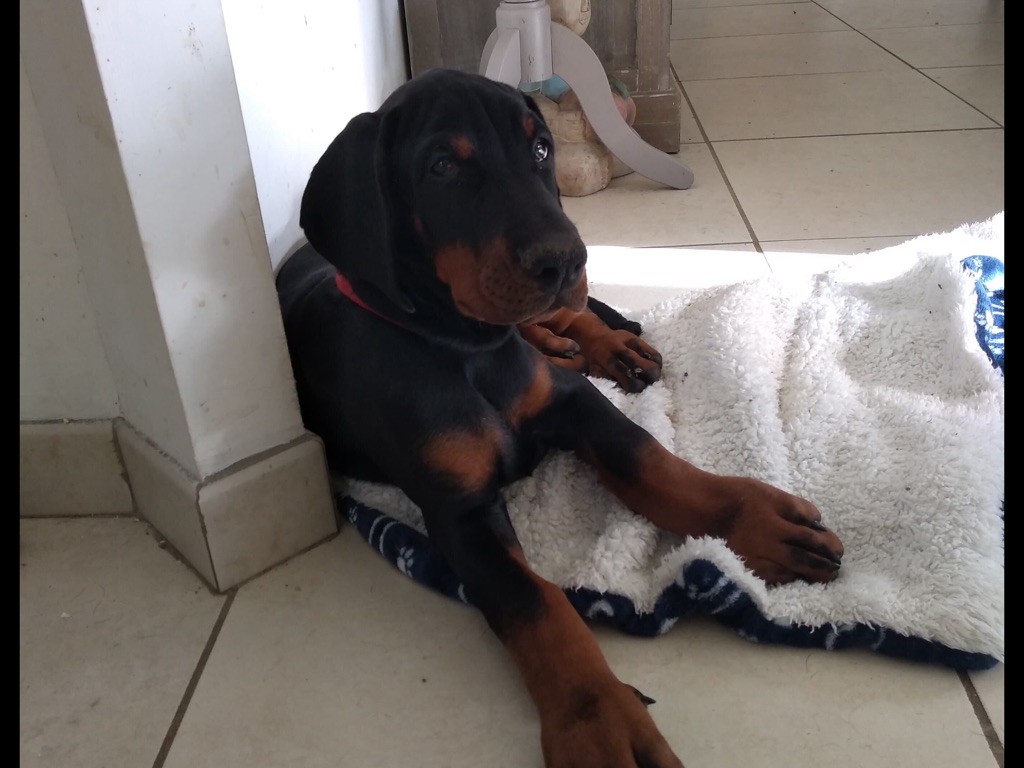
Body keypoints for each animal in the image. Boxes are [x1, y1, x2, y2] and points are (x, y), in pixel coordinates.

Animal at [277, 68, 843, 768]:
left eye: (542, 149)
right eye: (441, 166)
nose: (567, 260)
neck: (464, 349)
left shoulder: (575, 403)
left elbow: (650, 460)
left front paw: (756, 520)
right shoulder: (457, 510)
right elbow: (536, 605)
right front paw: (599, 718)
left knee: (567, 321)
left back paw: (611, 345)